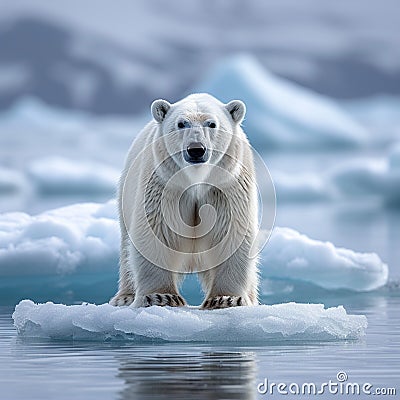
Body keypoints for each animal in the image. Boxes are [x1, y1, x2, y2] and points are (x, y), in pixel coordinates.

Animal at [110, 94, 260, 310]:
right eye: (181, 123)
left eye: (212, 124)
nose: (196, 150)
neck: (196, 179)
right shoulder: (165, 185)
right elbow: (156, 232)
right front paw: (161, 296)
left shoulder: (226, 186)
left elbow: (232, 235)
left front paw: (226, 299)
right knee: (126, 247)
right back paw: (125, 297)